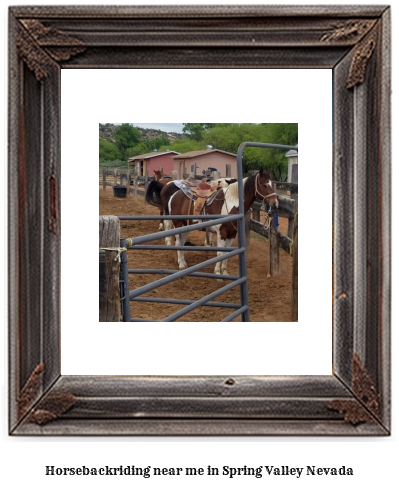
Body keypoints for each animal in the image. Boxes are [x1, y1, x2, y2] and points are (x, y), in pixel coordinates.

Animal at [145, 169, 278, 274]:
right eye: (264, 184)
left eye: (273, 184)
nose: (275, 203)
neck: (230, 203)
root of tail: (174, 195)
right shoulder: (221, 233)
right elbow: (220, 253)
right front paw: (218, 273)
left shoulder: (232, 234)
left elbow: (227, 254)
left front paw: (224, 272)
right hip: (177, 224)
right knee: (177, 242)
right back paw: (181, 264)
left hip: (185, 227)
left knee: (181, 243)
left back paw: (183, 263)